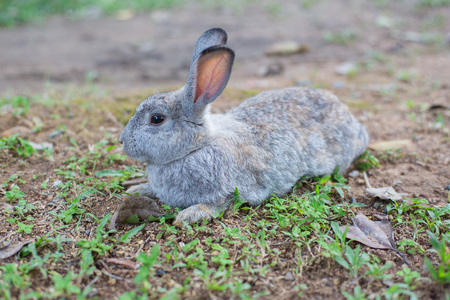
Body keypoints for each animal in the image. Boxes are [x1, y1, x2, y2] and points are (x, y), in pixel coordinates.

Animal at [119, 27, 370, 225]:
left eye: (156, 119)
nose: (122, 140)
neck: (196, 146)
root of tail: (354, 123)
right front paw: (136, 189)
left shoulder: (232, 191)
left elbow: (217, 204)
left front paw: (188, 216)